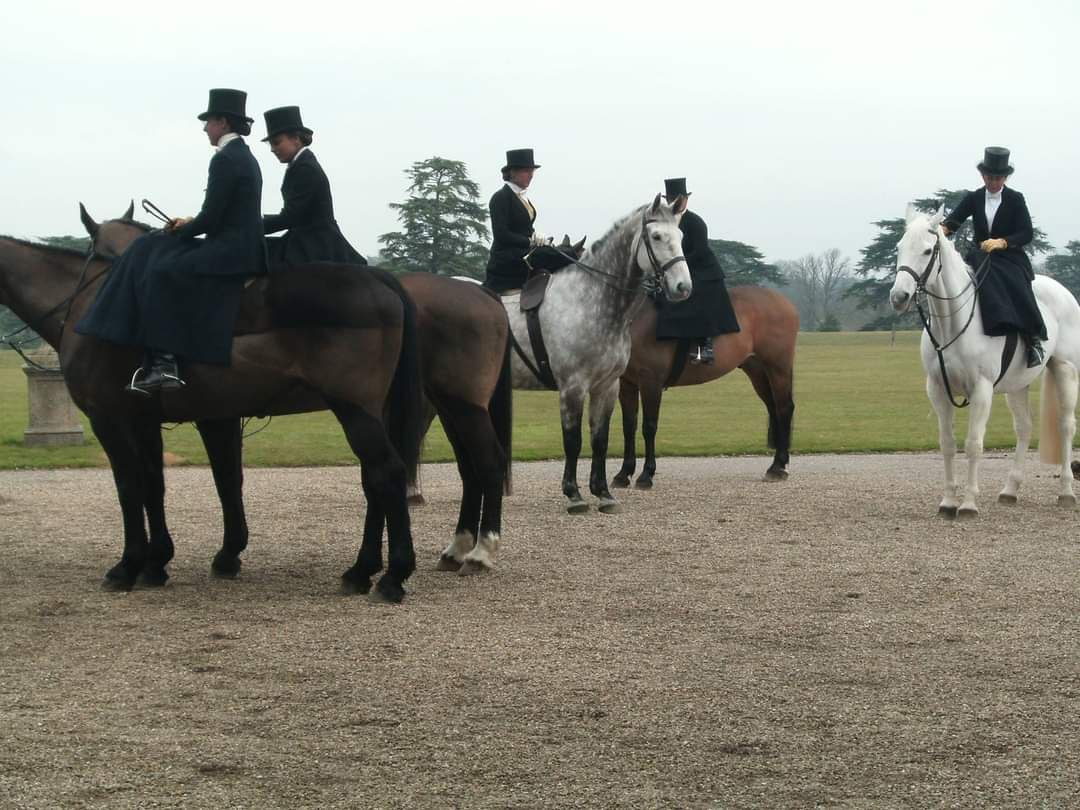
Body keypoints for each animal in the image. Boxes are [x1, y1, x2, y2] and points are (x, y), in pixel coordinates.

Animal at [0, 231, 425, 600]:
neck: (90, 303)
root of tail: (377, 276)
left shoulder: (110, 418)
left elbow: (129, 488)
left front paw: (128, 566)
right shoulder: (145, 420)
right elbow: (155, 485)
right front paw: (156, 563)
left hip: (354, 410)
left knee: (387, 473)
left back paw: (393, 576)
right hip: (370, 412)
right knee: (374, 481)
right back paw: (361, 571)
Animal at [79, 209, 509, 578]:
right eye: (100, 255)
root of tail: (480, 292)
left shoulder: (162, 416)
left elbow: (177, 480)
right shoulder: (191, 416)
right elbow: (201, 478)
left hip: (457, 405)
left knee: (483, 462)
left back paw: (479, 551)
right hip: (447, 404)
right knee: (466, 468)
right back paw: (456, 549)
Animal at [613, 285, 799, 488]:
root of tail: (783, 300)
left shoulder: (651, 382)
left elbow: (649, 427)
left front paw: (647, 474)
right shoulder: (627, 384)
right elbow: (628, 426)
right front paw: (624, 473)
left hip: (777, 367)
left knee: (784, 408)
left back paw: (778, 466)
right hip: (757, 371)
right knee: (773, 408)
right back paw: (778, 463)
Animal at [885, 206, 1080, 516]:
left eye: (927, 251)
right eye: (899, 248)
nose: (899, 297)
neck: (952, 323)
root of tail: (1060, 289)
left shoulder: (982, 390)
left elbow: (974, 445)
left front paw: (968, 504)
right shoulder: (937, 390)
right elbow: (948, 444)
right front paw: (948, 502)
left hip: (1065, 370)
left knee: (1066, 425)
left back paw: (1066, 491)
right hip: (1017, 385)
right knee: (1024, 427)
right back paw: (1010, 489)